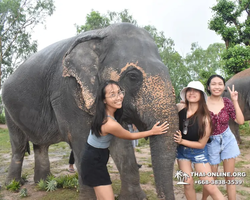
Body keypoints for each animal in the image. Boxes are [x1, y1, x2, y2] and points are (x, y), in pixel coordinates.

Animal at [1, 22, 178, 199]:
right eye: (133, 76)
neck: (101, 33)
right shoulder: (66, 92)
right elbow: (81, 138)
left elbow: (121, 143)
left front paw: (135, 198)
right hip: (8, 110)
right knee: (19, 146)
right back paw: (14, 184)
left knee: (41, 145)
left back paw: (44, 182)